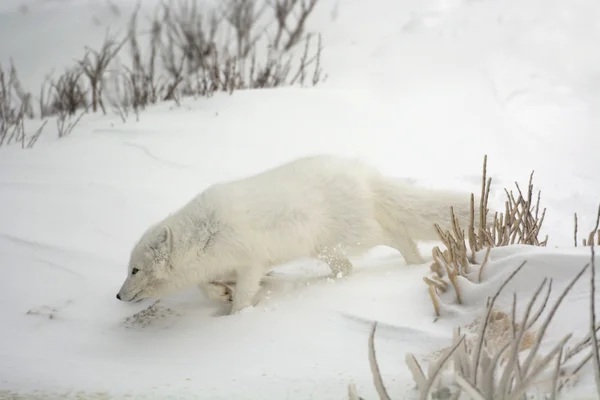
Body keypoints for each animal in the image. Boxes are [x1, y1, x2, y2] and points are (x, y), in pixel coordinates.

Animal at [115, 155, 486, 314]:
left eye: (135, 269)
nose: (118, 296)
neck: (204, 236)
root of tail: (363, 173)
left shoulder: (251, 261)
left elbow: (244, 293)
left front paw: (236, 315)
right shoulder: (228, 265)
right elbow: (206, 287)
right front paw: (221, 294)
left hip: (356, 235)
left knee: (396, 236)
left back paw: (412, 264)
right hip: (326, 248)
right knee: (348, 266)